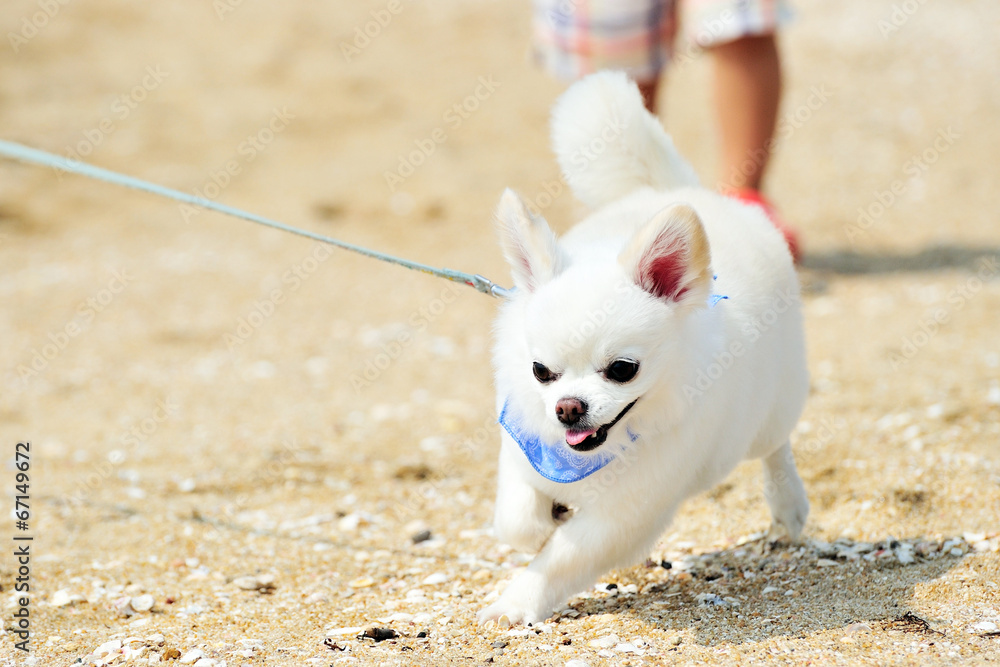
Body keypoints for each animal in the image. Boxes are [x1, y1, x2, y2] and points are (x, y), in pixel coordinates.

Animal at [478, 72, 812, 628]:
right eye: (541, 372)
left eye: (622, 369)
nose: (568, 408)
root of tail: (674, 189)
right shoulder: (522, 446)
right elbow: (517, 519)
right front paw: (544, 521)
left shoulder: (625, 513)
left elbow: (559, 559)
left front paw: (515, 602)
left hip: (770, 408)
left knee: (775, 449)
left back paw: (789, 507)